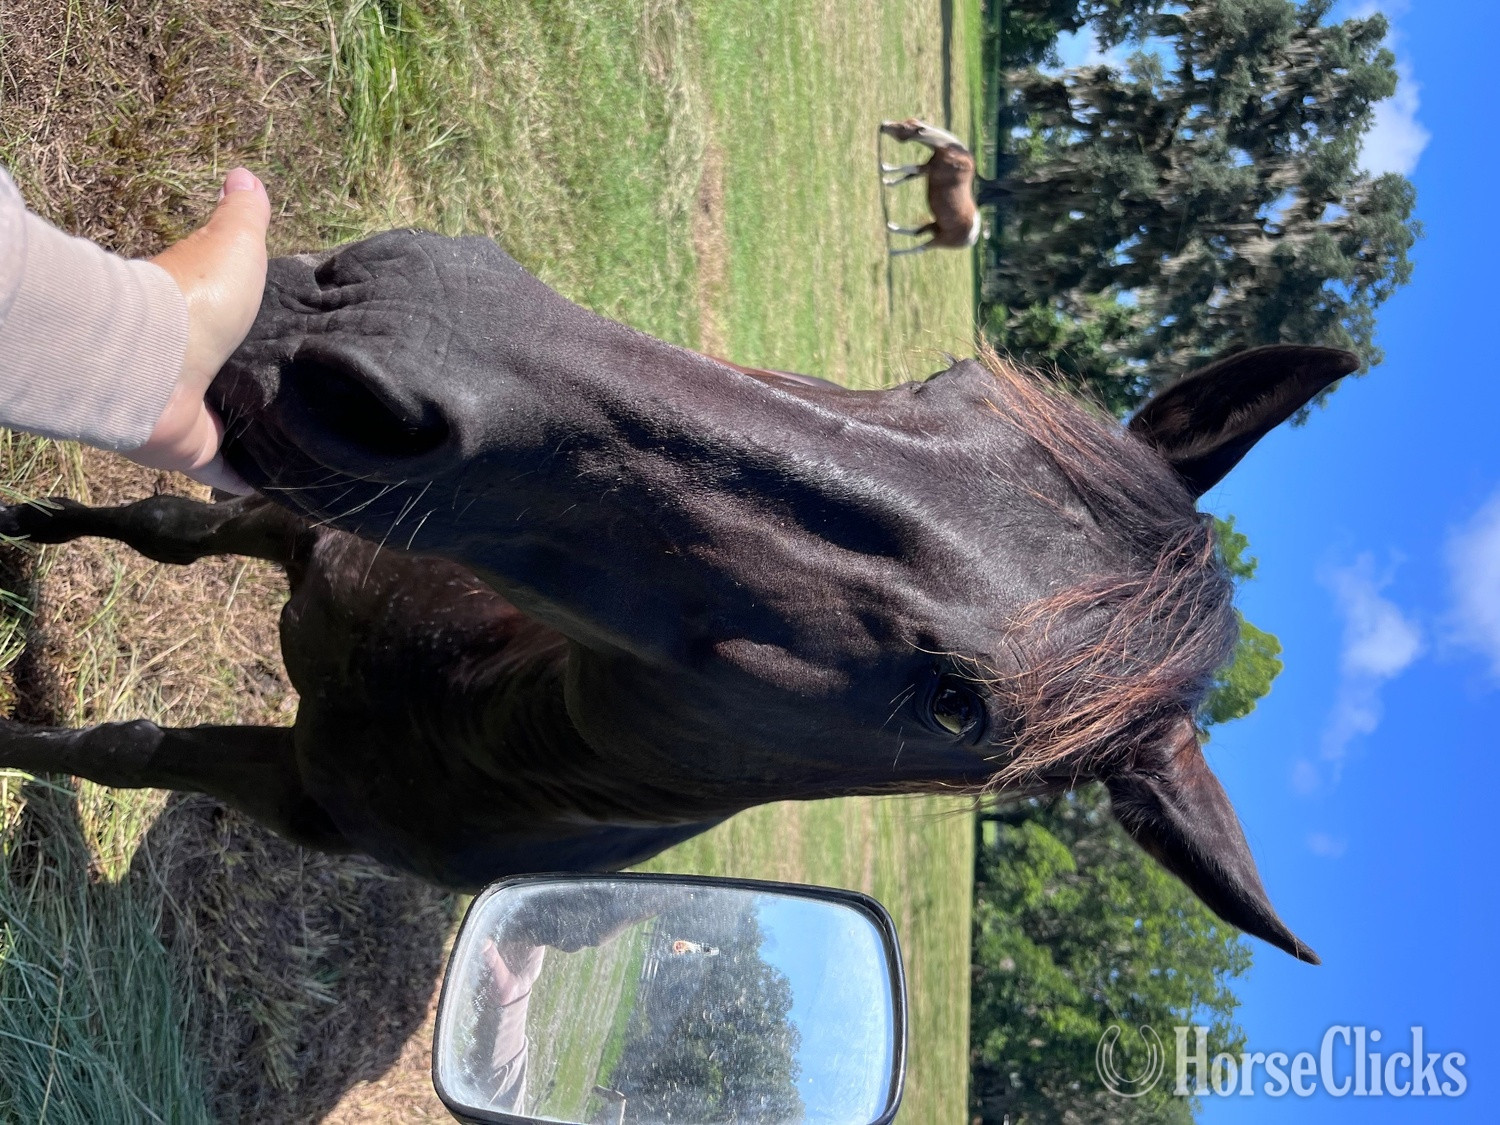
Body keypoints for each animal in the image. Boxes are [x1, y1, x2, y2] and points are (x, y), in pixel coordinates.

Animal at [0, 229, 1353, 963]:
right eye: (953, 381)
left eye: (958, 709)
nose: (415, 327)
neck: (454, 683)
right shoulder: (305, 529)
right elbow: (167, 532)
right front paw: (29, 532)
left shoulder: (295, 790)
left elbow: (123, 749)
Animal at [879, 118, 981, 255]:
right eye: (906, 120)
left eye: (904, 128)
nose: (883, 125)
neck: (955, 153)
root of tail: (973, 238)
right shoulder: (926, 169)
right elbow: (908, 176)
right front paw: (888, 182)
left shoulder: (927, 168)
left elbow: (908, 168)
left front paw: (884, 168)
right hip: (936, 226)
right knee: (917, 232)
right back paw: (891, 227)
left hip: (938, 240)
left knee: (919, 249)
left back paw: (894, 252)